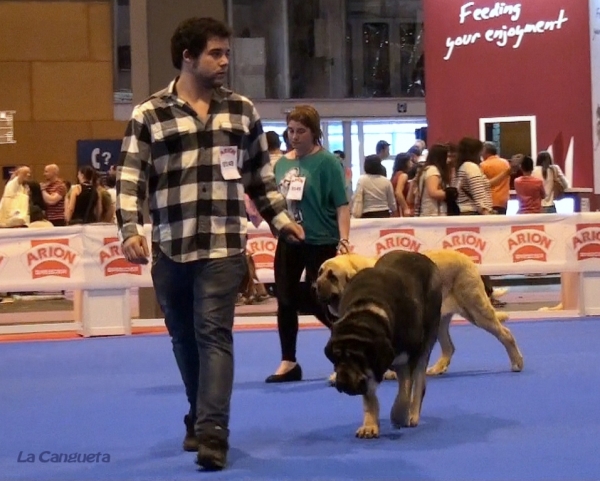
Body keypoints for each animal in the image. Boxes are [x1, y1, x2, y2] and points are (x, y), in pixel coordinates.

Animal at [316, 248, 524, 376]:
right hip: (439, 320)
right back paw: (436, 369)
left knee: (505, 334)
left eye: (332, 277)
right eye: (320, 272)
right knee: (449, 347)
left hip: (476, 310)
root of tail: (466, 259)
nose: (315, 286)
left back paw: (517, 363)